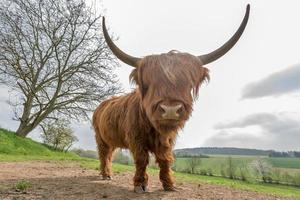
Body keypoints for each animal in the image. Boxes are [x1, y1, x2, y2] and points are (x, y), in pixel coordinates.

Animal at [92, 4, 251, 192]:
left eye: (187, 83)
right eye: (149, 83)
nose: (170, 110)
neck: (155, 128)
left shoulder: (167, 140)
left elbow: (165, 159)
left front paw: (169, 184)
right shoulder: (136, 138)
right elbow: (141, 159)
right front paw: (140, 184)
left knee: (110, 154)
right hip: (100, 137)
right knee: (104, 154)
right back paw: (105, 174)